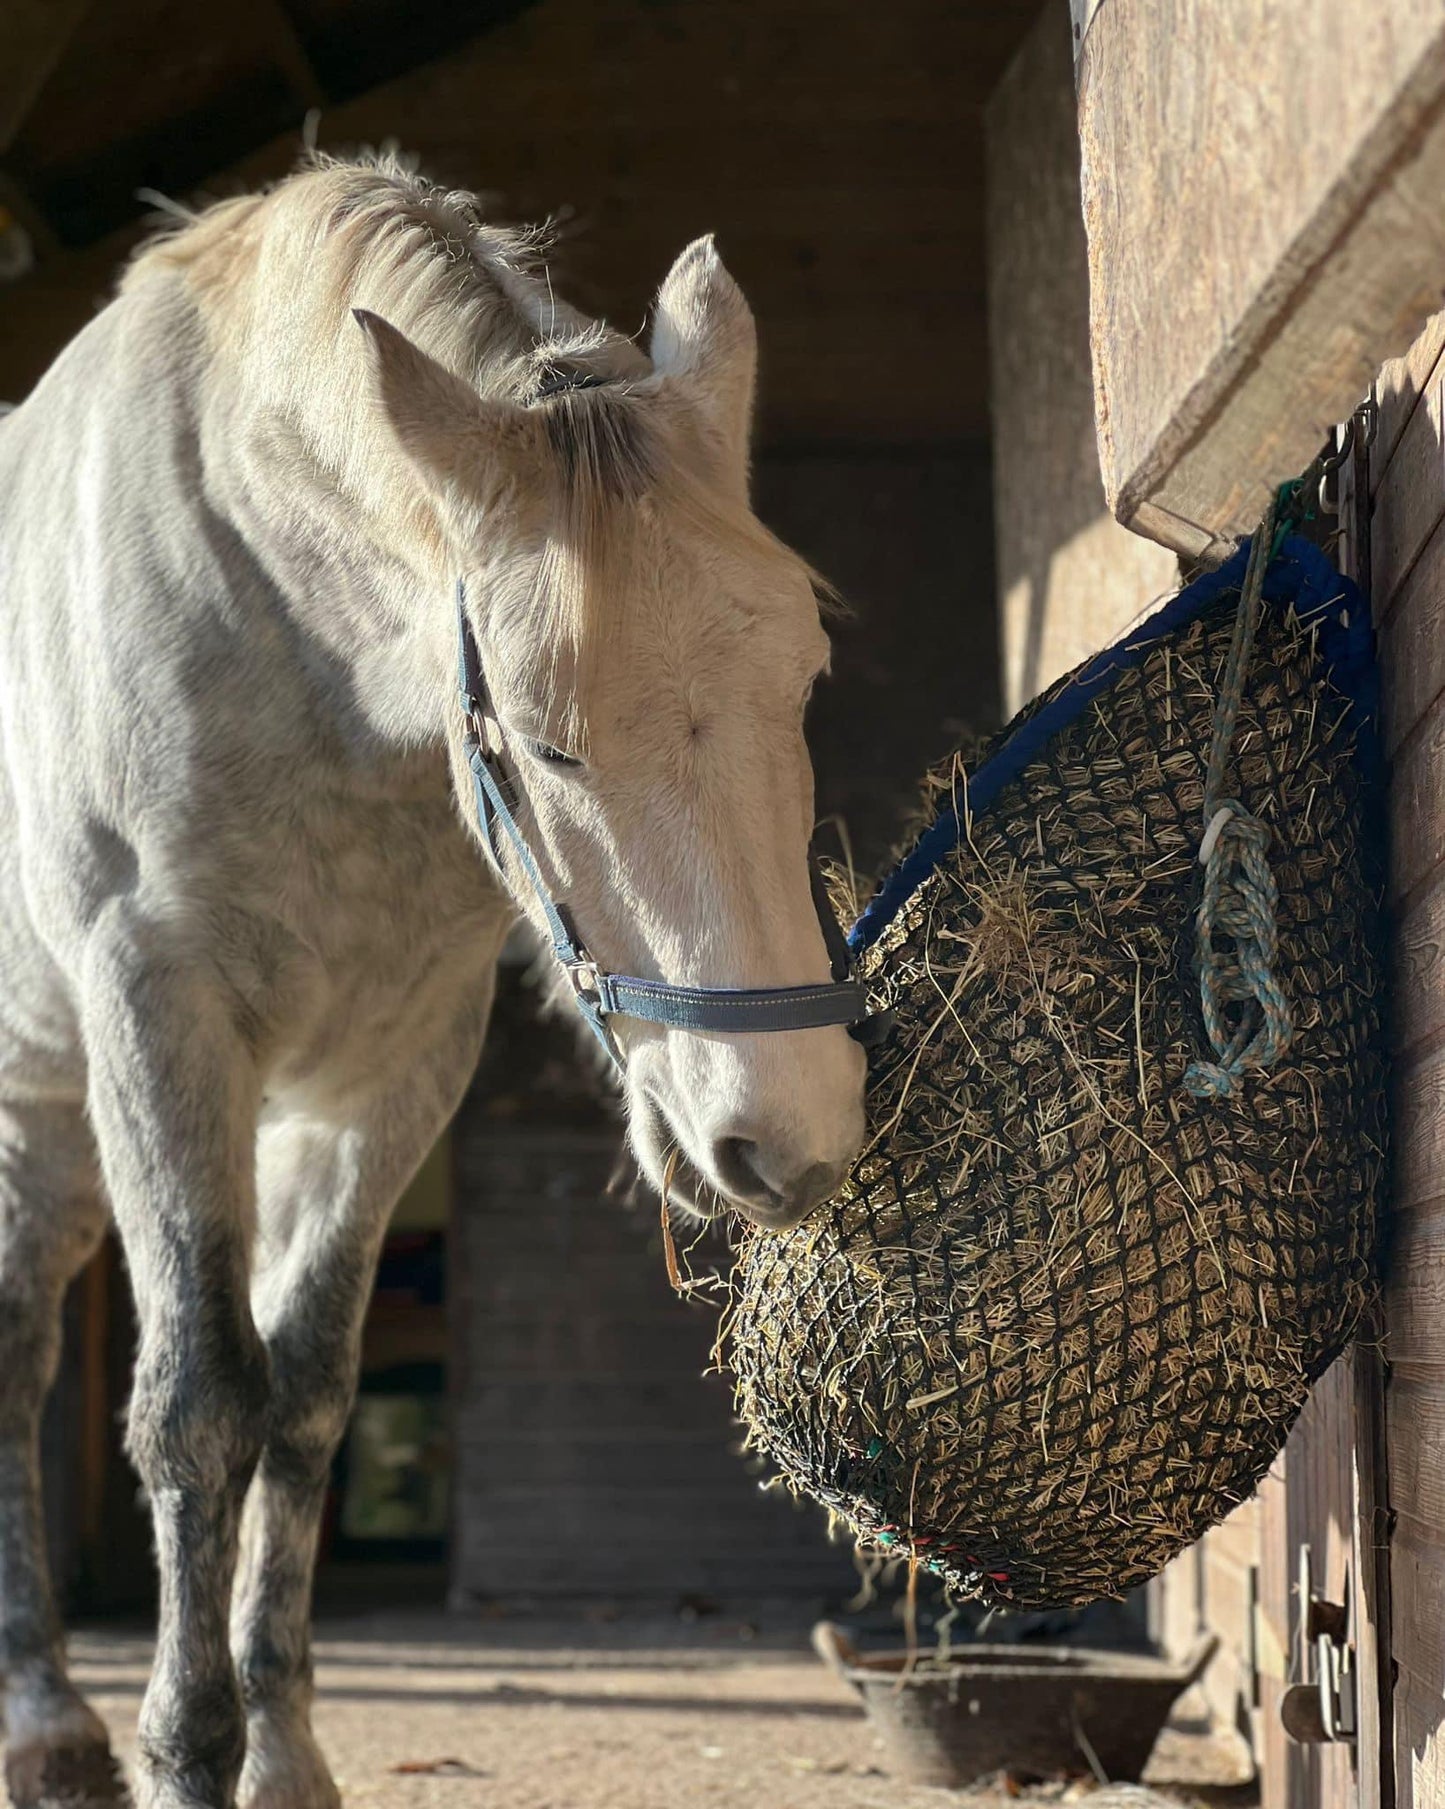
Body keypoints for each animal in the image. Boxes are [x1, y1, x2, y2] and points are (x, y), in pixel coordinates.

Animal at [0, 159, 864, 1809]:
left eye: (806, 682)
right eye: (547, 738)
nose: (788, 1137)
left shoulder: (388, 1071)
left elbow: (303, 1398)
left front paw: (278, 1752)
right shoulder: (160, 1020)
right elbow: (199, 1404)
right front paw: (187, 1752)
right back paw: (43, 1719)